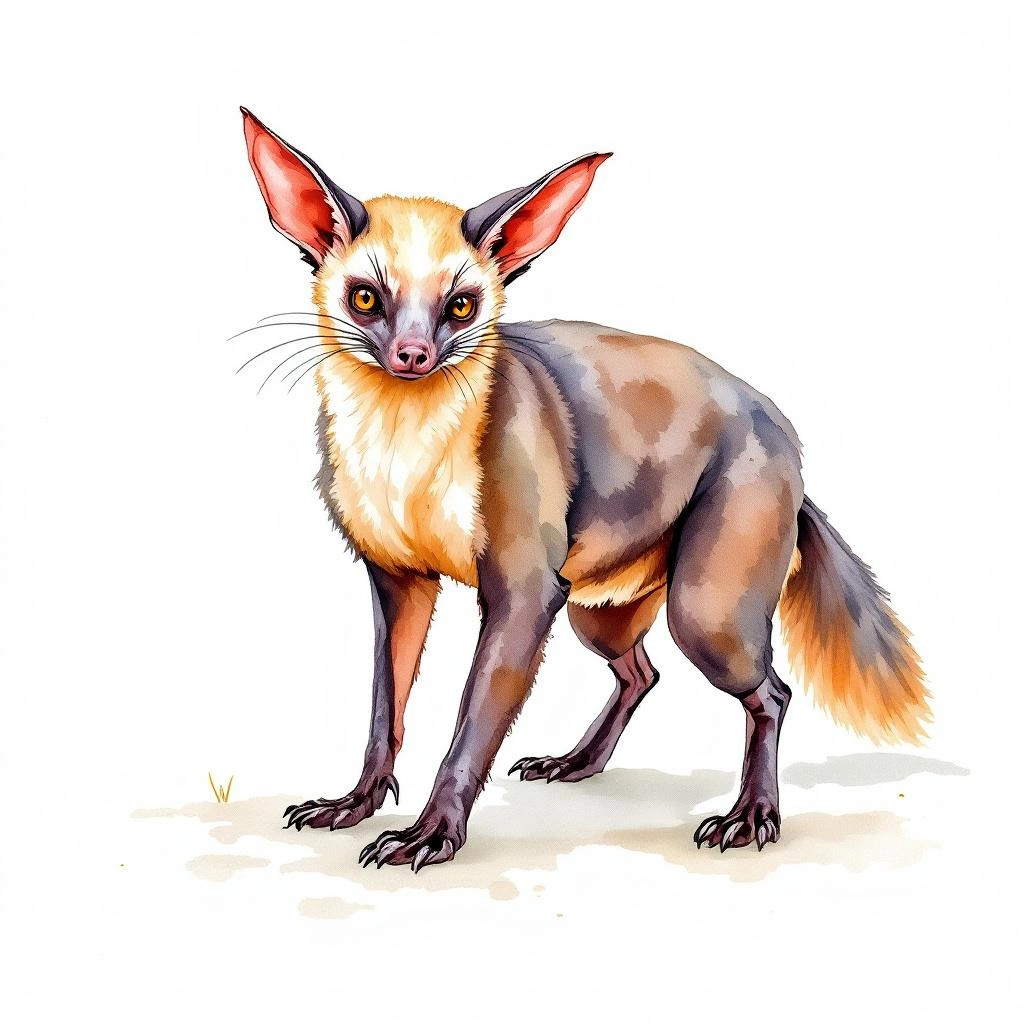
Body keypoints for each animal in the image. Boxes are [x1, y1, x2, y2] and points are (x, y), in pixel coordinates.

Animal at [238, 108, 929, 871]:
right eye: (365, 297)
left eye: (460, 305)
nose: (411, 356)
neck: (403, 458)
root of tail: (791, 453)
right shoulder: (398, 580)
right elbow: (384, 710)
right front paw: (353, 805)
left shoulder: (525, 591)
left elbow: (471, 726)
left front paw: (430, 834)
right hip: (597, 609)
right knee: (641, 673)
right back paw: (576, 764)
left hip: (704, 611)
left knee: (769, 691)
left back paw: (751, 816)